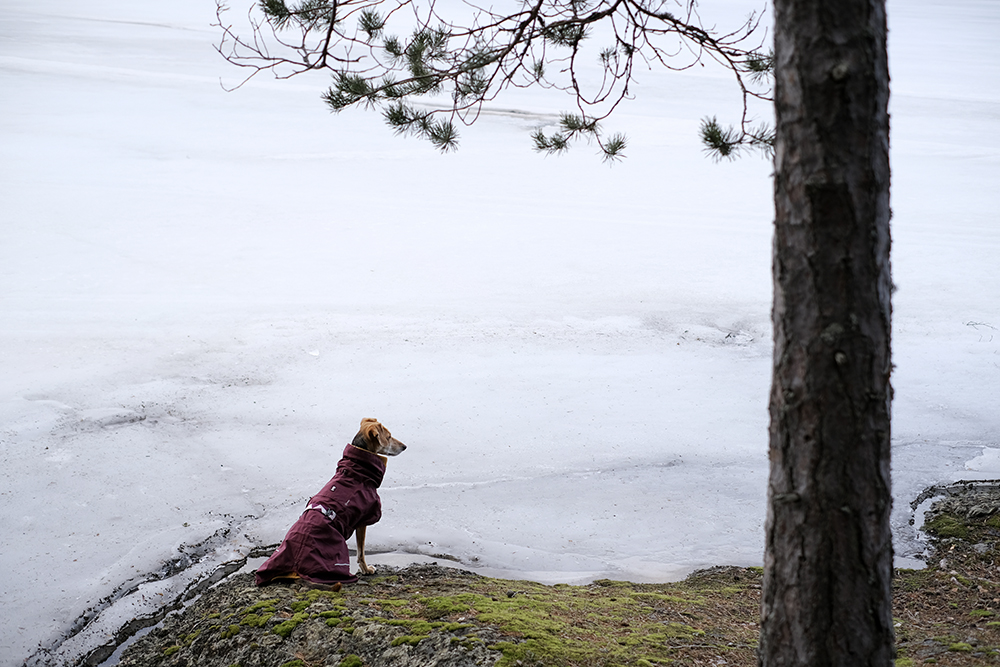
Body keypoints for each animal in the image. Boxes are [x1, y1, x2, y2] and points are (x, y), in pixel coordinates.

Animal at [256, 418, 408, 588]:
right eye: (388, 437)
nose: (404, 446)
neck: (357, 472)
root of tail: (296, 568)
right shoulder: (363, 520)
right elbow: (361, 551)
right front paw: (366, 569)